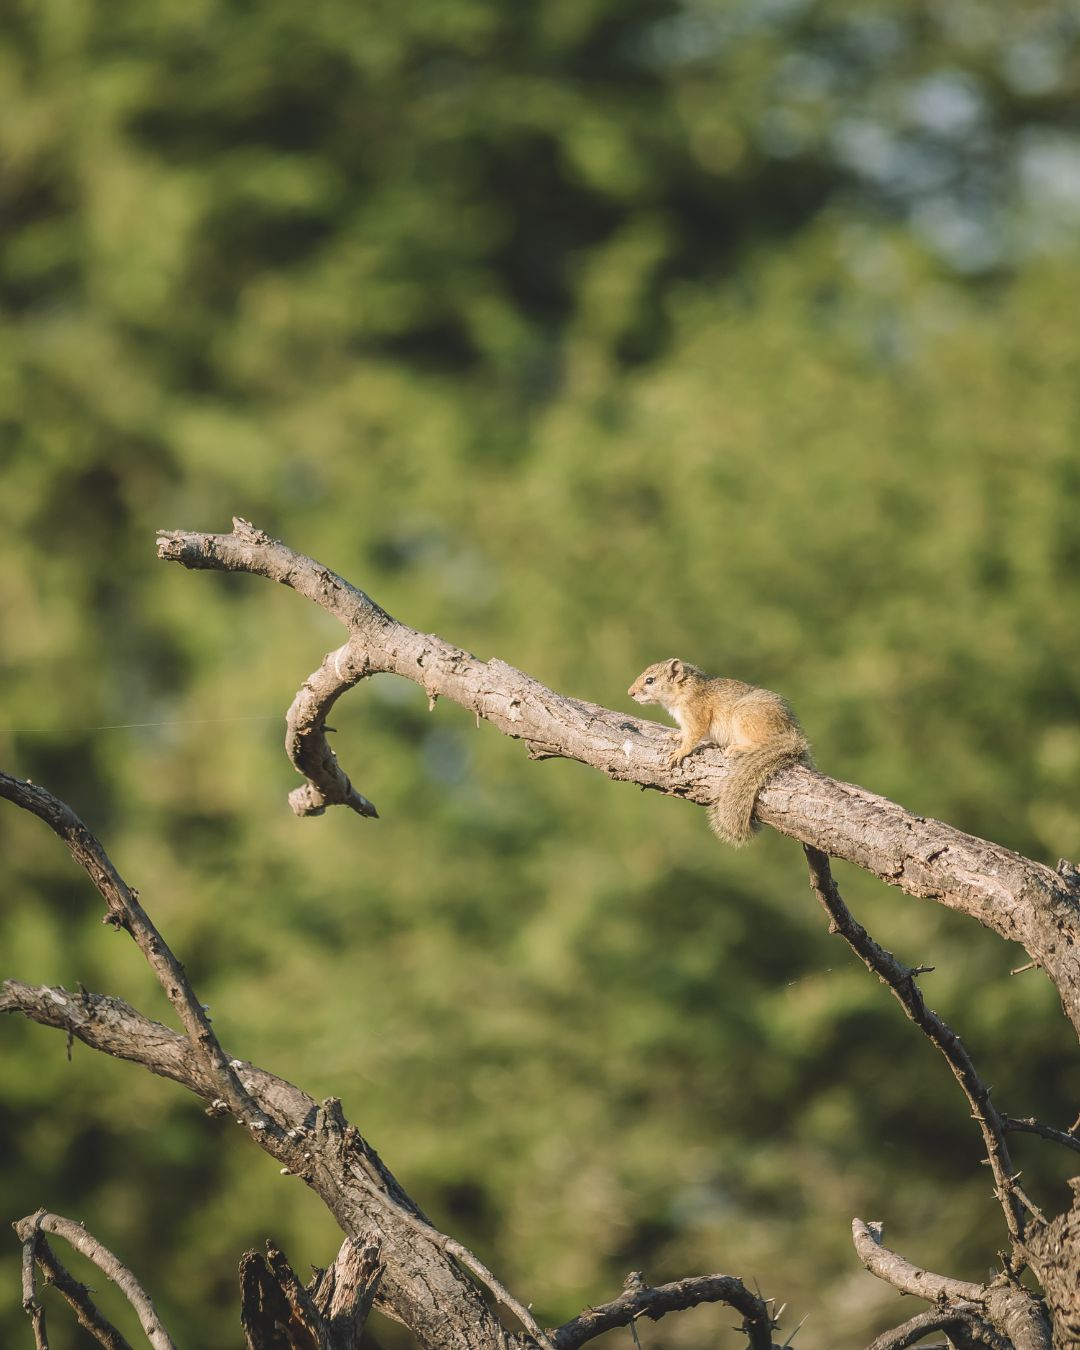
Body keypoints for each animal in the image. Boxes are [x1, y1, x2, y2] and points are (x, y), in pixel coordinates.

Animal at [627, 658, 810, 846]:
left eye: (650, 680)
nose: (630, 693)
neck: (685, 689)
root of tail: (791, 737)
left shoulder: (696, 715)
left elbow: (693, 736)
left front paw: (680, 752)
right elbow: (684, 733)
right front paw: (676, 736)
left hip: (746, 719)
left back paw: (736, 748)